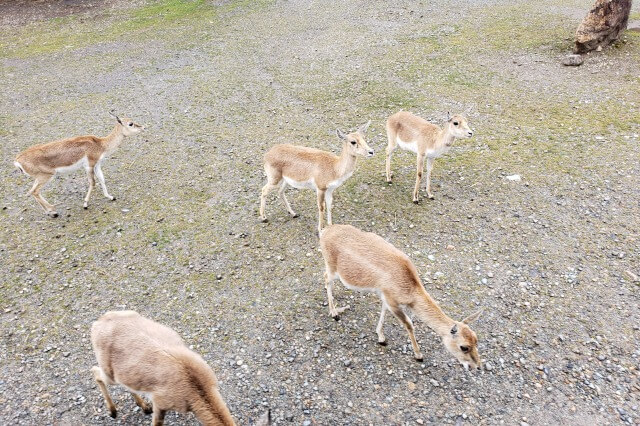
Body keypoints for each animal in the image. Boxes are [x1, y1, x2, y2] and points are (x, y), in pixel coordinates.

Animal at [14, 113, 145, 216]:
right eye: (130, 123)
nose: (143, 127)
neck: (100, 145)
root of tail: (17, 160)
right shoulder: (89, 165)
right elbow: (93, 183)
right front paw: (85, 204)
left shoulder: (97, 165)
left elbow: (102, 179)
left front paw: (110, 197)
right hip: (46, 176)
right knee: (34, 191)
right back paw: (53, 211)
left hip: (39, 177)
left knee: (31, 191)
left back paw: (50, 212)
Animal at [90, 310, 270, 426]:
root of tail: (97, 322)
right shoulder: (160, 402)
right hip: (109, 373)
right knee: (95, 372)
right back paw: (113, 412)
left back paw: (144, 407)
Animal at [318, 223, 480, 370]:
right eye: (464, 347)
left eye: (476, 339)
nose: (478, 366)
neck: (409, 288)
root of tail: (325, 230)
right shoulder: (392, 301)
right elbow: (409, 324)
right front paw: (418, 355)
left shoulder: (386, 296)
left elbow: (383, 312)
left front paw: (381, 338)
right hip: (332, 268)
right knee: (326, 278)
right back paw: (334, 313)